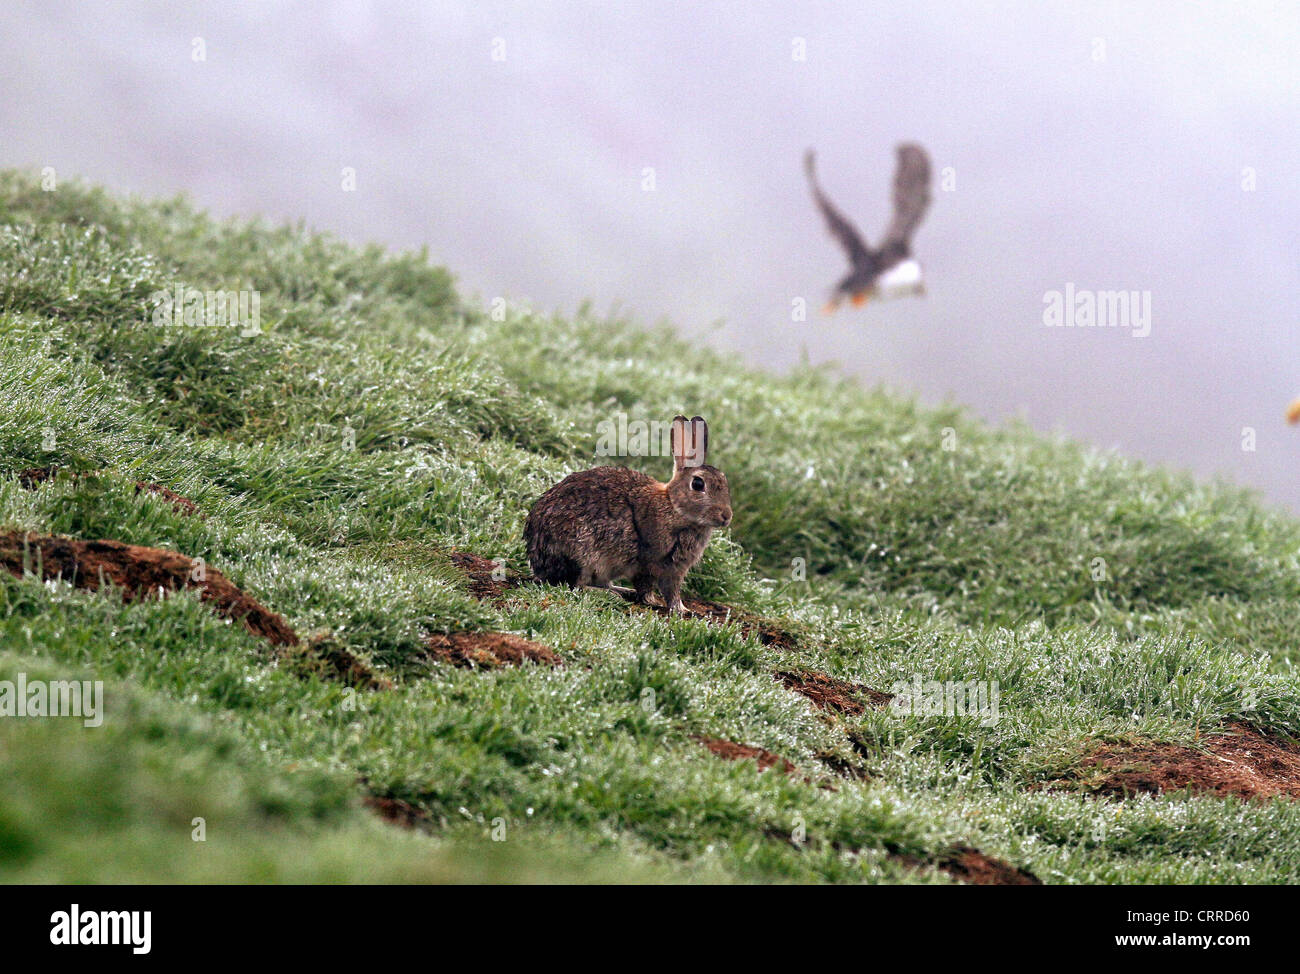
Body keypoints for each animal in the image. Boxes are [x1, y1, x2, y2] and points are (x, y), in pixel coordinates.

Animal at [524, 415, 732, 615]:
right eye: (698, 484)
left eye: (724, 481)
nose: (727, 516)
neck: (674, 508)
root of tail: (538, 562)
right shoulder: (650, 560)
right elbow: (651, 586)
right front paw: (657, 602)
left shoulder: (675, 570)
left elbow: (672, 591)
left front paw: (682, 609)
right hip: (583, 556)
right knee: (576, 584)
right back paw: (610, 594)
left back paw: (621, 590)